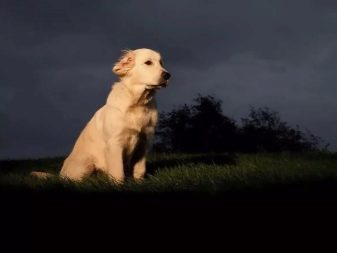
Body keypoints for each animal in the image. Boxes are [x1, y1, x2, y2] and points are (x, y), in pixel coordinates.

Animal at [31, 48, 169, 182]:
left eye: (161, 63)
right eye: (148, 62)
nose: (168, 75)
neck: (137, 103)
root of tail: (59, 175)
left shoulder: (144, 142)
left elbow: (140, 170)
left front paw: (139, 182)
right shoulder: (115, 143)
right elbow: (118, 172)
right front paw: (119, 185)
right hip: (87, 163)